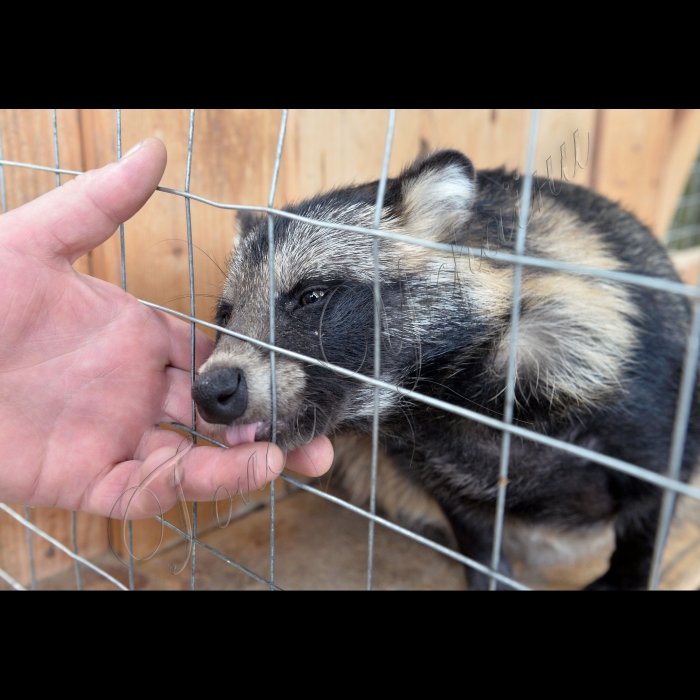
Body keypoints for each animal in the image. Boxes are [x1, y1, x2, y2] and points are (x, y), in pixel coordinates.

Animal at [191, 149, 700, 592]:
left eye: (311, 296)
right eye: (225, 315)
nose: (209, 390)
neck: (449, 404)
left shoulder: (649, 421)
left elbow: (647, 526)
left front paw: (629, 575)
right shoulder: (441, 469)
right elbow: (473, 535)